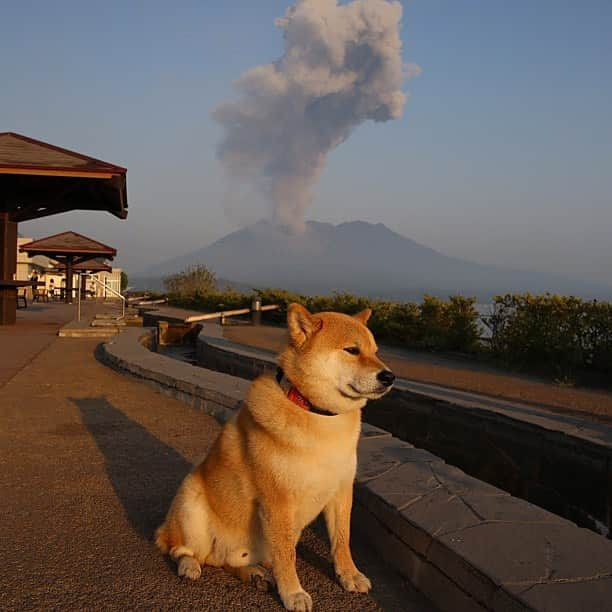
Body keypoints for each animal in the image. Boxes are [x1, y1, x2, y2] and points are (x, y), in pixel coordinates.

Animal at [157, 304, 396, 608]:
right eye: (352, 350)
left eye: (375, 351)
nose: (389, 377)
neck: (319, 416)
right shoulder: (278, 502)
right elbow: (287, 556)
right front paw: (293, 592)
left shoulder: (341, 492)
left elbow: (342, 541)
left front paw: (349, 575)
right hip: (191, 504)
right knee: (181, 549)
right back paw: (190, 565)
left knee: (225, 562)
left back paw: (255, 574)